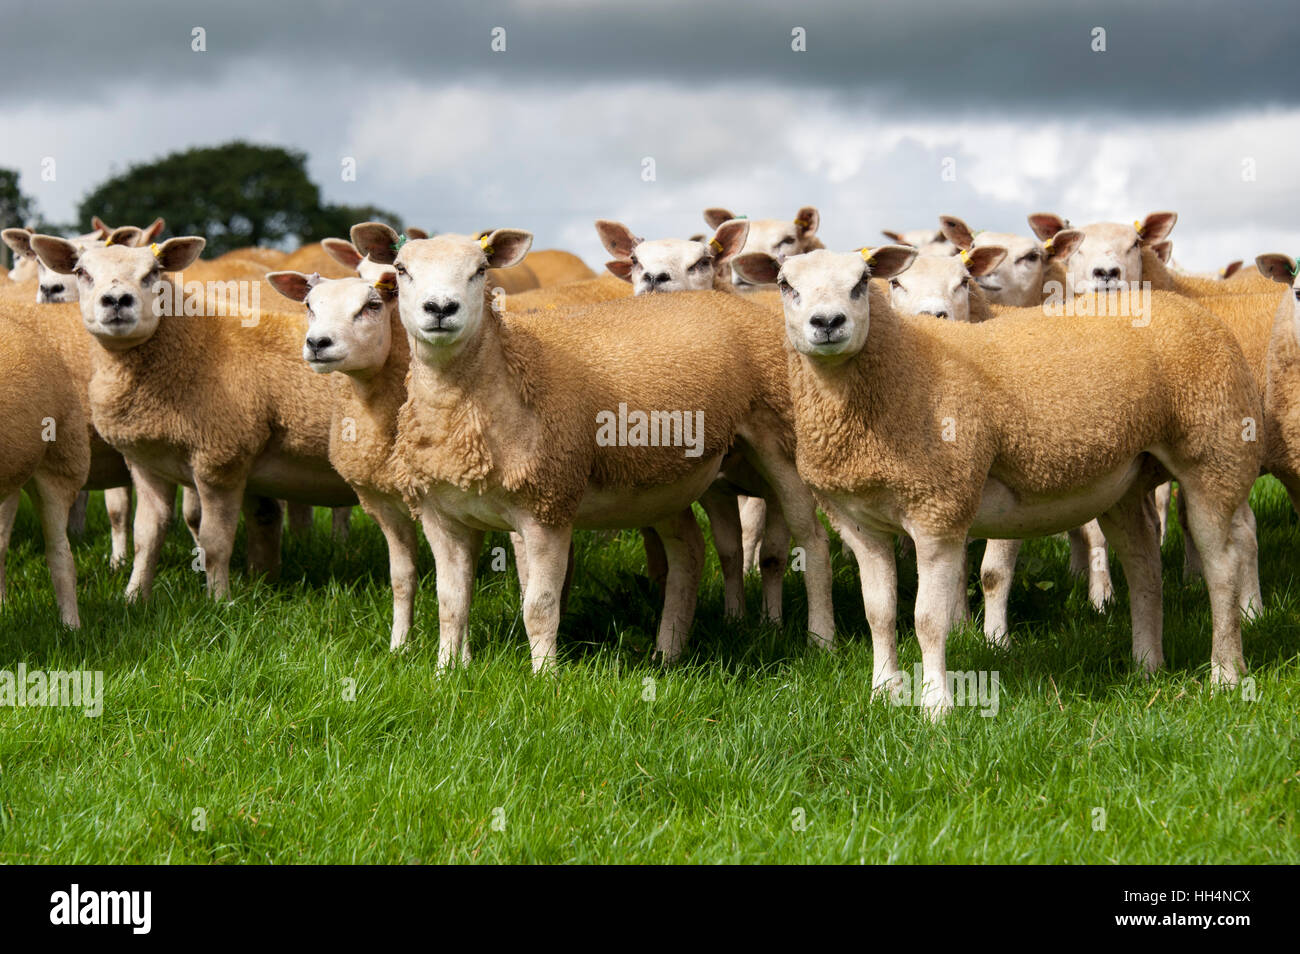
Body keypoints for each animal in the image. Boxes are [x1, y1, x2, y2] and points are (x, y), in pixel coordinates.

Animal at [26, 232, 361, 600]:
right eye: (82, 272)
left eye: (153, 273)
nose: (116, 300)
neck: (193, 344)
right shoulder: (147, 463)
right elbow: (146, 536)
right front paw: (134, 597)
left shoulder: (221, 459)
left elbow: (214, 544)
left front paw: (219, 602)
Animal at [738, 246, 1263, 717]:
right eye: (785, 284)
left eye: (863, 281)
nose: (828, 322)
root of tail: (1181, 304)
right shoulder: (858, 521)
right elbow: (879, 613)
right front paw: (883, 692)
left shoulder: (938, 508)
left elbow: (928, 620)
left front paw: (936, 708)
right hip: (1128, 478)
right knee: (1144, 563)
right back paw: (1147, 665)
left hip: (1214, 453)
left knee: (1222, 566)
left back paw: (1226, 673)